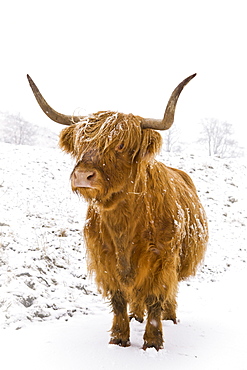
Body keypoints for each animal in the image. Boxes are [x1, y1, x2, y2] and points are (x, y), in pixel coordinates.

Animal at [27, 73, 208, 352]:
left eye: (121, 144)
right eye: (81, 144)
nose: (83, 175)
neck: (124, 222)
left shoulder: (162, 259)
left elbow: (156, 296)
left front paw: (153, 342)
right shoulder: (105, 259)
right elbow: (119, 297)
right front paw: (119, 337)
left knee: (169, 292)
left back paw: (170, 316)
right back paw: (136, 315)